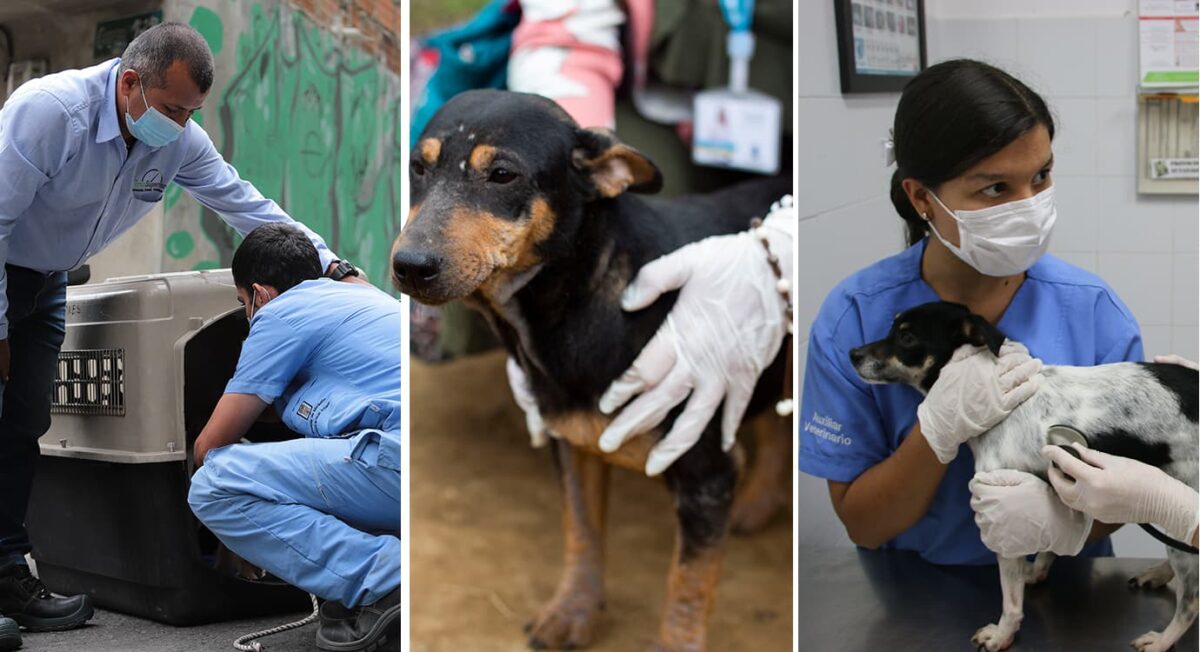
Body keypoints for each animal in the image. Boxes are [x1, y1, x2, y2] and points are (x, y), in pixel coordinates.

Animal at [388, 89, 792, 648]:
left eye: (502, 175)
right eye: (418, 168)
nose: (408, 265)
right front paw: (574, 610)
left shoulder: (706, 472)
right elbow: (581, 532)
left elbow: (686, 588)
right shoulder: (572, 445)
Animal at [849, 301, 1195, 652]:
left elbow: (1011, 599)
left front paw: (1002, 634)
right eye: (892, 327)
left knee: (1189, 603)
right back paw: (1158, 574)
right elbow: (1049, 544)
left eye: (906, 337)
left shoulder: (1004, 514)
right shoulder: (1058, 491)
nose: (852, 353)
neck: (1005, 407)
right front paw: (1038, 571)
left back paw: (1163, 639)